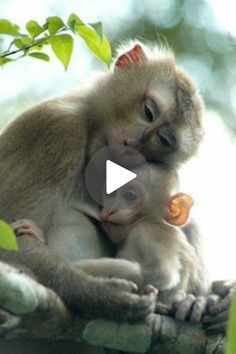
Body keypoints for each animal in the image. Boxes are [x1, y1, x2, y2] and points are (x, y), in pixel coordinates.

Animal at [0, 42, 229, 334]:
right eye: (148, 112)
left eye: (163, 140)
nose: (131, 144)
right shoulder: (55, 130)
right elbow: (10, 239)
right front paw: (103, 295)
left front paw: (201, 299)